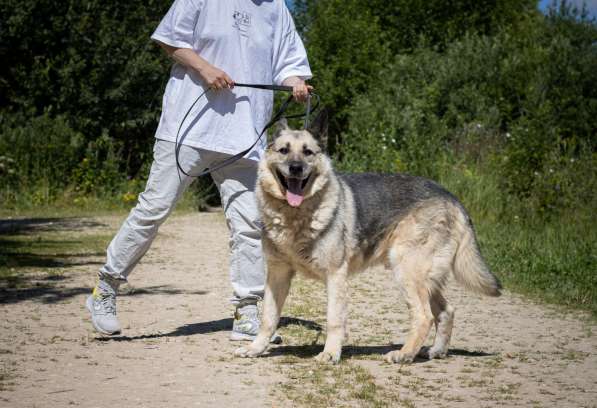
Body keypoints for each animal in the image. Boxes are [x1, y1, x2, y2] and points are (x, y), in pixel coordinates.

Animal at [233, 111, 498, 364]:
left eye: (307, 152)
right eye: (284, 150)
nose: (296, 168)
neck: (295, 215)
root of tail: (451, 197)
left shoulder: (335, 276)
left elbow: (334, 319)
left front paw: (330, 354)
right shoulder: (277, 275)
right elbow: (268, 317)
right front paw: (256, 348)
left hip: (407, 270)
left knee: (424, 316)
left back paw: (404, 354)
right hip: (424, 278)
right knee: (446, 311)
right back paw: (435, 351)